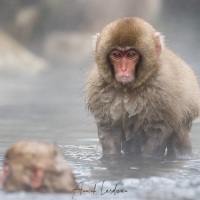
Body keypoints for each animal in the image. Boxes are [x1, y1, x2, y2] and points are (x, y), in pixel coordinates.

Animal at [86, 17, 200, 160]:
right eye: (116, 55)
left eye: (131, 54)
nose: (123, 69)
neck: (128, 89)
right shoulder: (100, 90)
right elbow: (109, 130)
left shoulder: (163, 89)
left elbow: (157, 131)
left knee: (180, 136)